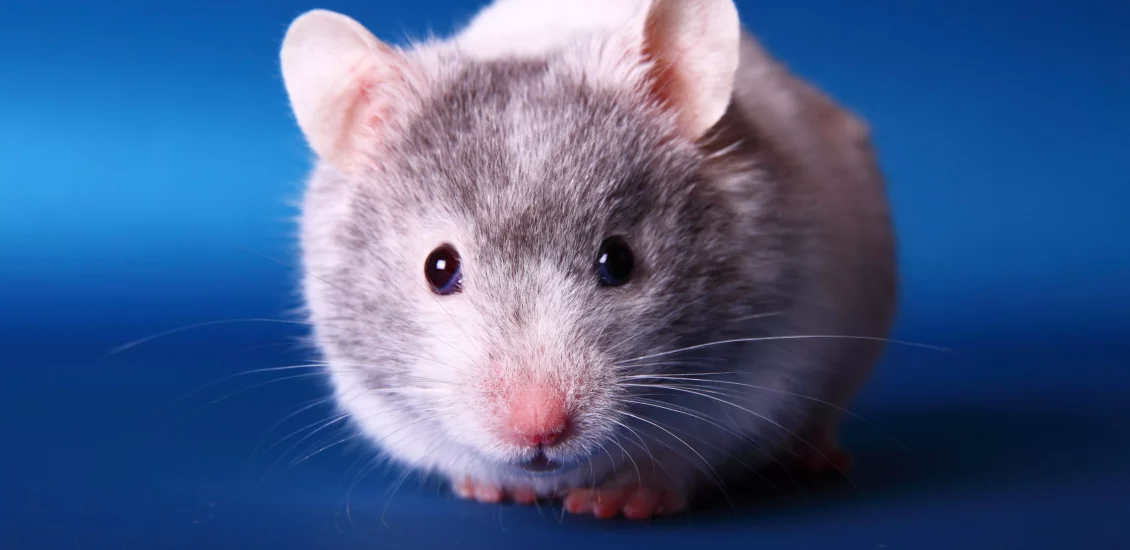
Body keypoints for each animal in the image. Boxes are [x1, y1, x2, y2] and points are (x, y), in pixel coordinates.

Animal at [279, 0, 896, 520]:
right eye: (439, 268)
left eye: (618, 261)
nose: (539, 433)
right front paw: (490, 488)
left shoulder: (762, 379)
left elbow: (679, 458)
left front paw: (617, 503)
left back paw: (820, 458)